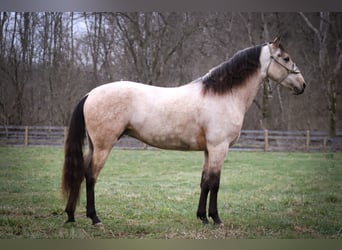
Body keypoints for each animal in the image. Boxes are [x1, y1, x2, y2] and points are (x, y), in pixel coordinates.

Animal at [62, 37, 308, 227]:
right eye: (285, 58)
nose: (303, 85)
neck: (223, 94)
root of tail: (91, 94)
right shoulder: (219, 148)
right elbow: (215, 183)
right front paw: (216, 219)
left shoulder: (209, 150)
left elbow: (205, 182)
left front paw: (203, 218)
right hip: (104, 146)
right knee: (91, 176)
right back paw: (95, 219)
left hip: (94, 145)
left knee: (80, 173)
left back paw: (71, 215)